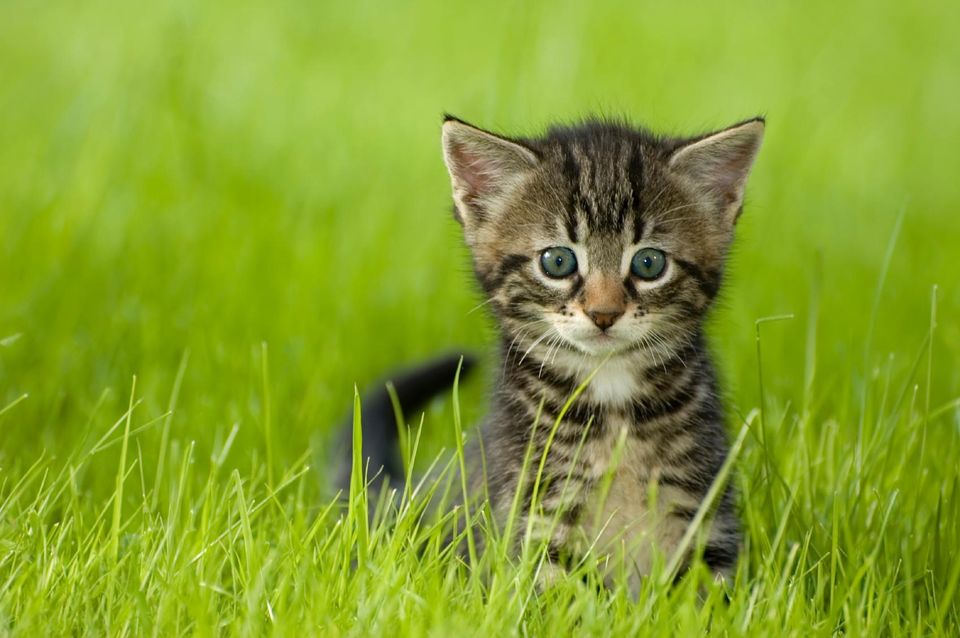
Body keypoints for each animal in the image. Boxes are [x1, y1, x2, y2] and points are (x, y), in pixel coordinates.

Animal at [338, 115, 764, 596]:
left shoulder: (705, 512)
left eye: (649, 263)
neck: (612, 396)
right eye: (557, 262)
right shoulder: (533, 518)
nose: (604, 313)